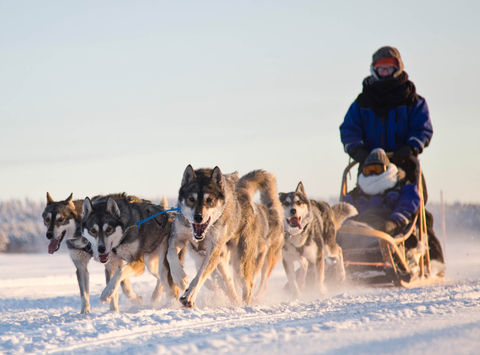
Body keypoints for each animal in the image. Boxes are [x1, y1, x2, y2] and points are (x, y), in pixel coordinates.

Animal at [167, 167, 284, 308]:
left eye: (209, 200)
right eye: (191, 199)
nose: (198, 217)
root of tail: (242, 192)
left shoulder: (213, 250)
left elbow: (200, 276)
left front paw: (189, 296)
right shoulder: (178, 238)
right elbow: (170, 256)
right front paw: (181, 278)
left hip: (240, 263)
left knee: (247, 285)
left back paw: (243, 305)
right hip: (221, 259)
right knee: (228, 282)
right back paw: (235, 300)